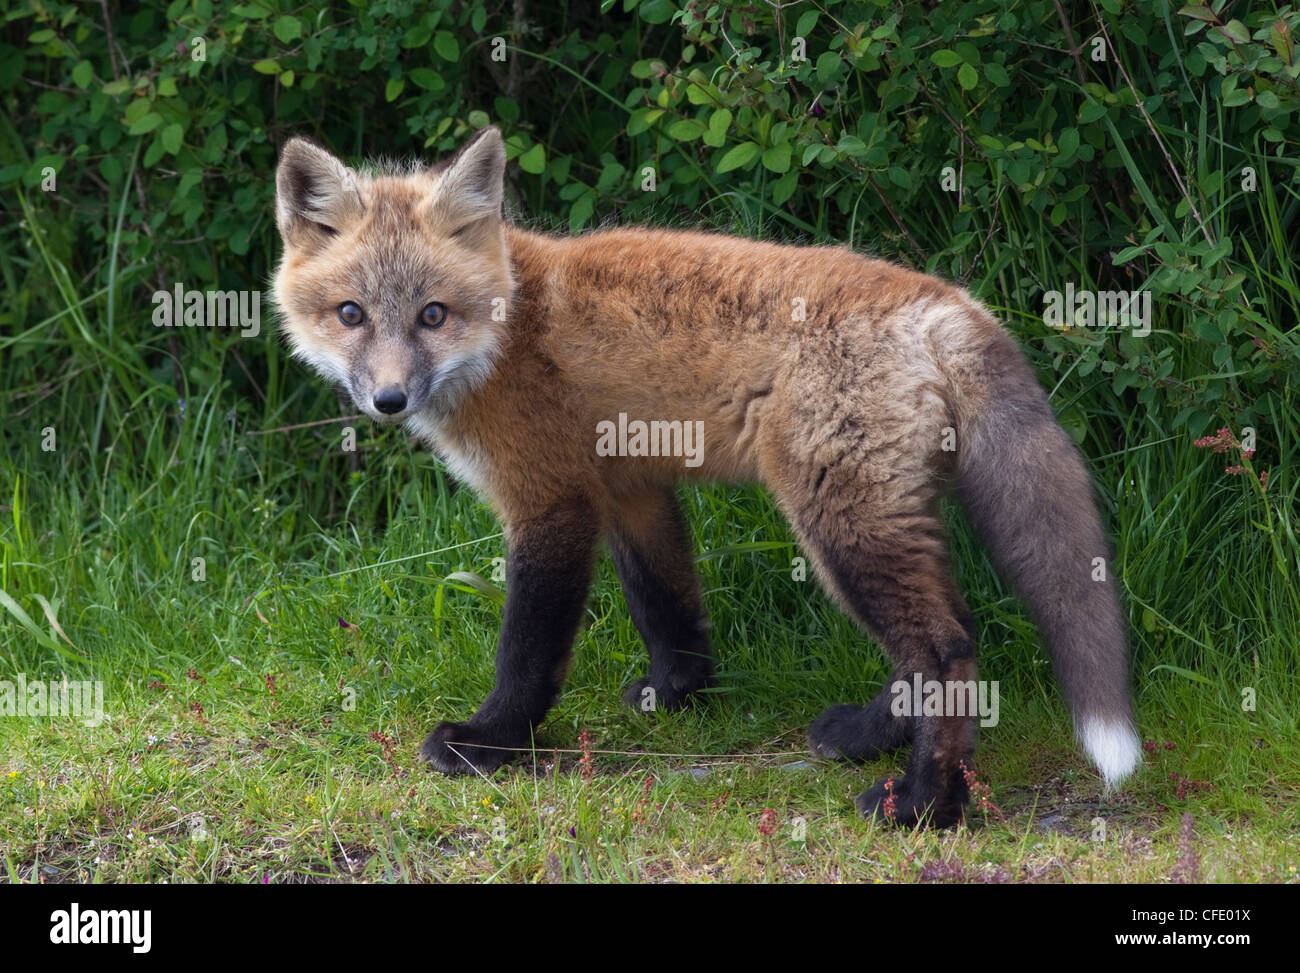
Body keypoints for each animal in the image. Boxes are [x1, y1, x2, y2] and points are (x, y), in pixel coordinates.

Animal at [271, 125, 1138, 827]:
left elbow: (528, 647)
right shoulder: (629, 487)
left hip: (840, 524)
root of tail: (950, 302)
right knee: (949, 631)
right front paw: (680, 692)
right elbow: (667, 604)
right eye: (351, 315)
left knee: (947, 648)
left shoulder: (550, 501)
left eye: (432, 315)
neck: (512, 326)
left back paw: (925, 804)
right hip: (885, 517)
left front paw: (491, 741)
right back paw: (867, 737)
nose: (387, 400)